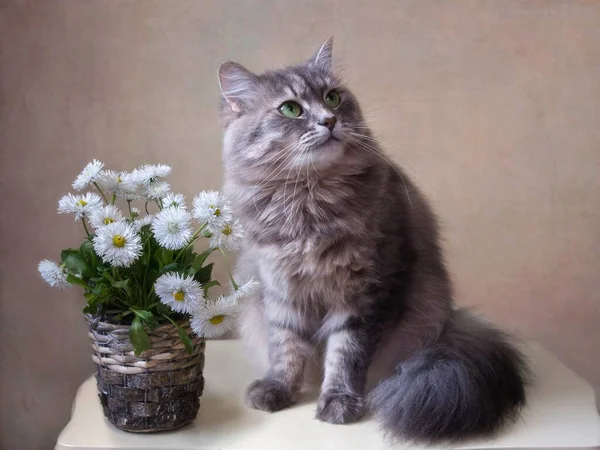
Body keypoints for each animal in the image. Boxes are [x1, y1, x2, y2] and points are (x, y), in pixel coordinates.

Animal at [218, 37, 528, 442]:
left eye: (333, 98)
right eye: (290, 109)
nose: (329, 121)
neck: (308, 203)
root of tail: (451, 324)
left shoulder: (366, 292)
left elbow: (346, 353)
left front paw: (339, 401)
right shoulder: (280, 289)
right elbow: (285, 347)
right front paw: (279, 389)